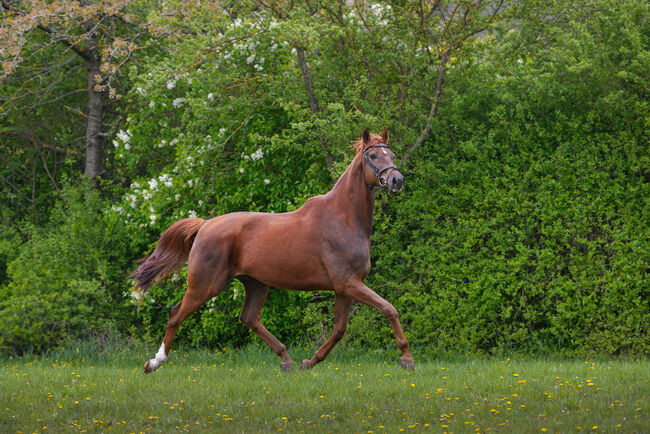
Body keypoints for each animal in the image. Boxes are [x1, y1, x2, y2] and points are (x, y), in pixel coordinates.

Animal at [131, 127, 412, 372]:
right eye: (373, 156)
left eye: (392, 155)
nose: (397, 180)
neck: (344, 218)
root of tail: (205, 224)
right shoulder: (348, 284)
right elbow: (389, 308)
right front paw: (407, 358)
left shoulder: (344, 288)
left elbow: (339, 330)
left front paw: (309, 362)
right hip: (205, 285)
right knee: (176, 314)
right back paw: (154, 363)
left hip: (255, 283)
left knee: (249, 318)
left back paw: (286, 359)